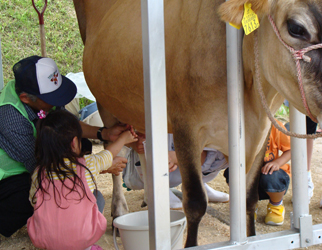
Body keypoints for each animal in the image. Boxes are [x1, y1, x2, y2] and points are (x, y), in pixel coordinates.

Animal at [71, 0, 322, 246]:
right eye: (296, 28)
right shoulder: (186, 128)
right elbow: (195, 203)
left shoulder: (263, 131)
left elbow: (249, 198)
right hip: (104, 98)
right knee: (114, 149)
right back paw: (120, 212)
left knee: (143, 147)